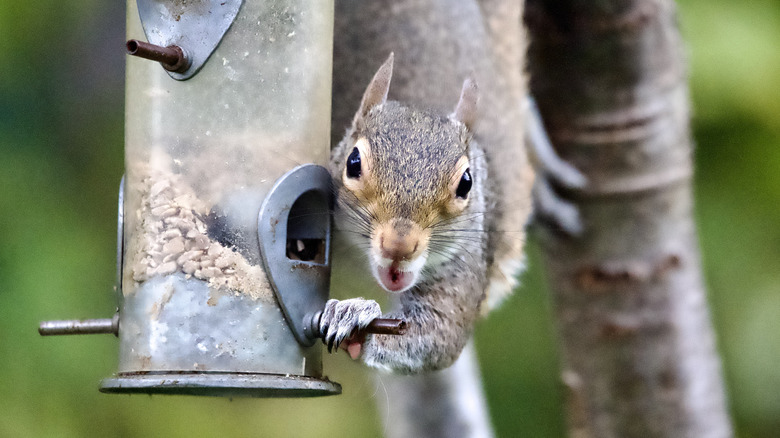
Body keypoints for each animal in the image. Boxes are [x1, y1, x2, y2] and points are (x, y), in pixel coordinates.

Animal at [322, 0, 582, 374]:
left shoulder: (467, 259)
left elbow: (439, 335)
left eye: (466, 184)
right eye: (353, 163)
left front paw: (355, 314)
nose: (399, 246)